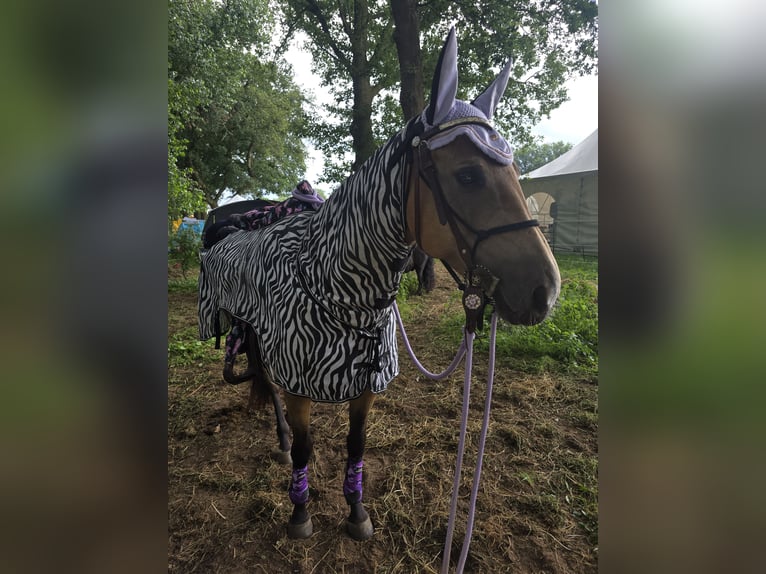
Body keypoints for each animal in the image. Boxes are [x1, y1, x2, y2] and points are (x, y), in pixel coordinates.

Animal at [197, 28, 561, 542]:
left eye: (513, 172)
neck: (341, 291)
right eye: (468, 175)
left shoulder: (366, 387)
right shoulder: (300, 385)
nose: (544, 292)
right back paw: (282, 442)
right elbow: (307, 447)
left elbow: (356, 444)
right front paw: (300, 512)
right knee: (268, 384)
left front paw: (356, 510)